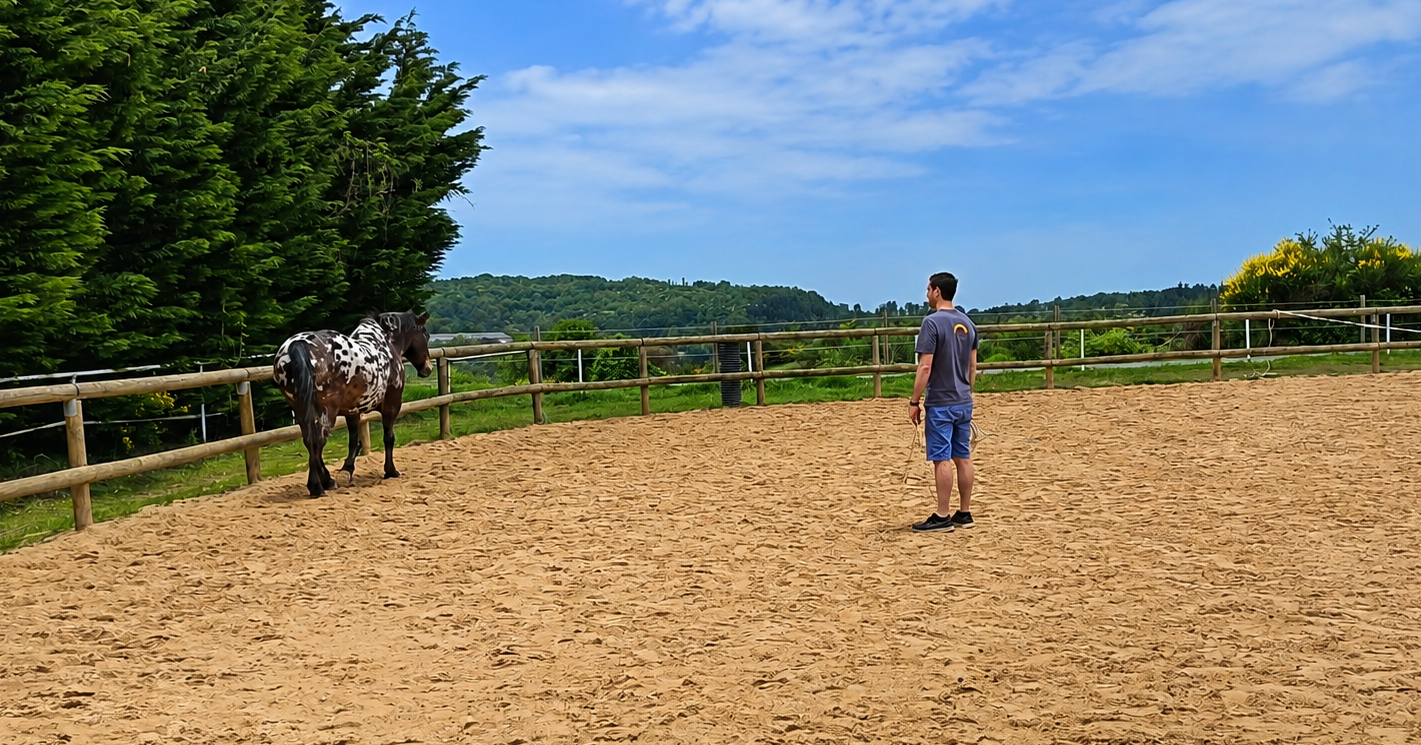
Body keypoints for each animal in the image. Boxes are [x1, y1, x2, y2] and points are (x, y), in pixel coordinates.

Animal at [272, 310, 433, 497]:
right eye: (426, 334)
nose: (428, 368)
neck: (386, 343)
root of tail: (298, 344)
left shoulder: (352, 411)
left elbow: (354, 441)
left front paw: (347, 470)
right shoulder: (391, 406)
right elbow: (388, 437)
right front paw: (391, 471)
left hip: (300, 409)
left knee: (309, 440)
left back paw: (327, 481)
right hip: (327, 410)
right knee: (318, 440)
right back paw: (318, 486)